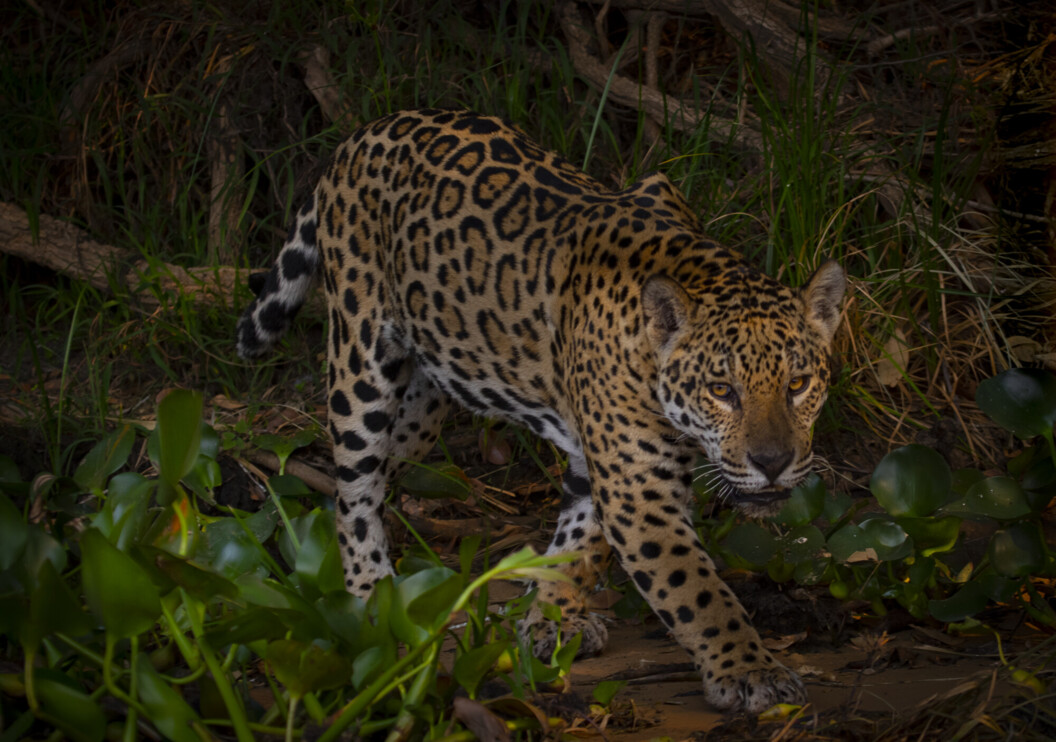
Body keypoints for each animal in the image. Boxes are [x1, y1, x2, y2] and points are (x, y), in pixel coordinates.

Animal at [237, 109, 845, 713]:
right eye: (721, 390)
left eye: (798, 384)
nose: (772, 462)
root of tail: (368, 129)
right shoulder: (637, 486)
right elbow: (696, 590)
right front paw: (750, 670)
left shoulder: (599, 459)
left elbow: (580, 539)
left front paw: (553, 616)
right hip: (359, 365)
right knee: (354, 491)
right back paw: (369, 594)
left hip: (424, 408)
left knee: (379, 471)